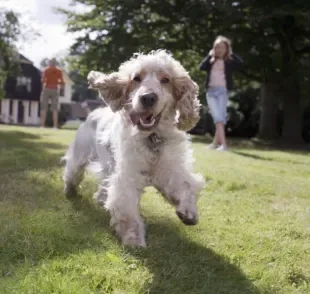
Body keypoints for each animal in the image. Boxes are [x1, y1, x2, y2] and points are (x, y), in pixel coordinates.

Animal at [61, 49, 205, 247]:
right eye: (136, 78)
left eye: (166, 80)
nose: (148, 97)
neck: (152, 138)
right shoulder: (126, 177)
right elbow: (127, 212)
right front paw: (133, 238)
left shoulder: (170, 170)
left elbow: (185, 186)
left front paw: (188, 212)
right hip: (80, 155)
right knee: (72, 172)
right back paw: (70, 190)